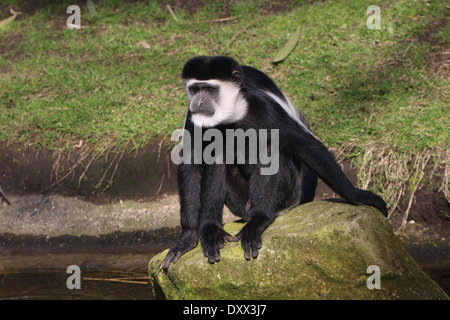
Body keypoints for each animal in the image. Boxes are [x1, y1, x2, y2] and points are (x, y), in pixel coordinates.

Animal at [162, 55, 386, 270]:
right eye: (194, 89)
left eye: (209, 89)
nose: (198, 103)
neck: (232, 113)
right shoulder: (193, 117)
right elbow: (191, 163)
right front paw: (187, 238)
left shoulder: (264, 106)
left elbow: (308, 146)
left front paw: (360, 196)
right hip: (241, 202)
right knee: (218, 155)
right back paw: (212, 230)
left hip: (288, 194)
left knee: (271, 149)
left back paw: (259, 220)